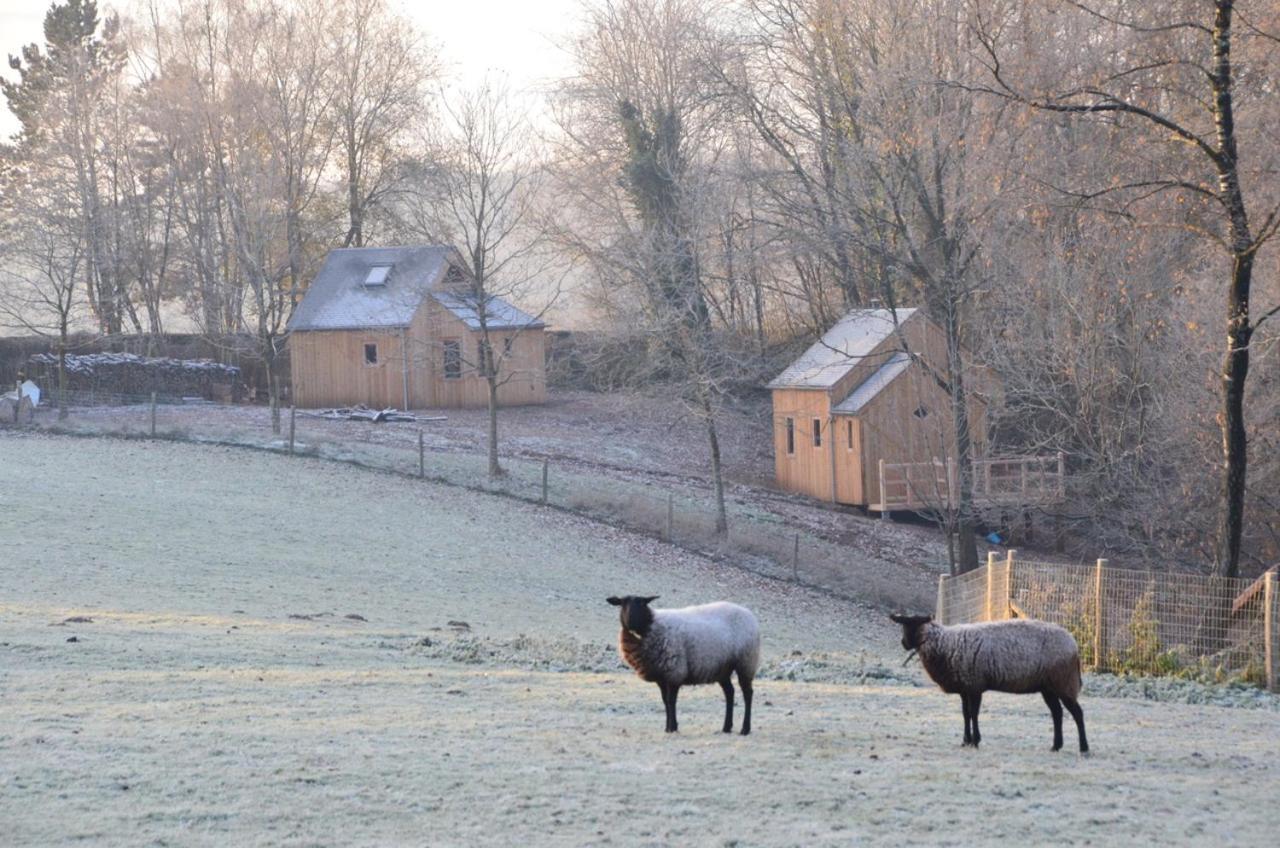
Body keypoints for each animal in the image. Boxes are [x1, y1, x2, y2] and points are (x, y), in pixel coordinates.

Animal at [606, 596, 757, 737]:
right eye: (622, 604)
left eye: (642, 603)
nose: (631, 622)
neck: (652, 625)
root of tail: (748, 612)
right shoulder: (661, 678)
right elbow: (665, 701)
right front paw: (668, 727)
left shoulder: (675, 672)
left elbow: (671, 701)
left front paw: (672, 728)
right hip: (723, 668)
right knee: (730, 692)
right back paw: (726, 727)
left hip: (746, 662)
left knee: (747, 694)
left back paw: (745, 729)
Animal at [890, 614, 1090, 753]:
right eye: (903, 624)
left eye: (913, 624)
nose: (903, 643)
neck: (945, 644)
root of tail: (1074, 645)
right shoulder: (965, 687)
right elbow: (965, 714)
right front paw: (966, 741)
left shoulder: (975, 685)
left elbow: (974, 714)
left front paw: (975, 741)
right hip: (1048, 687)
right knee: (1057, 713)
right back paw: (1056, 746)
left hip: (1063, 681)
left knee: (1077, 713)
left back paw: (1084, 748)